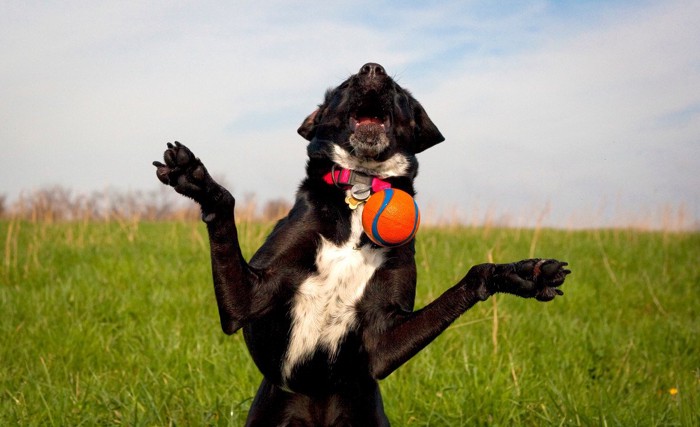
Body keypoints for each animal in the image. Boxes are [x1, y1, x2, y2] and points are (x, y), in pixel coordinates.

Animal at [153, 61, 568, 426]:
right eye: (345, 85)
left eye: (400, 93)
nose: (373, 68)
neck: (361, 189)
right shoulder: (246, 302)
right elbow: (225, 207)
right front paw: (197, 179)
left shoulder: (381, 345)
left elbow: (471, 278)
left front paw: (522, 275)